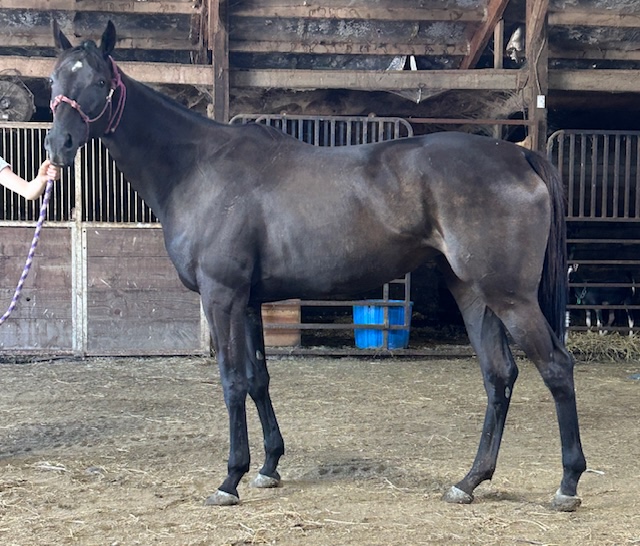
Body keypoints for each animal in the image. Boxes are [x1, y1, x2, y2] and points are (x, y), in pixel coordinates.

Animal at [43, 20, 584, 506]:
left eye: (98, 82)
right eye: (54, 80)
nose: (59, 146)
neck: (199, 168)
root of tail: (518, 156)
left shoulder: (222, 296)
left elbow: (232, 380)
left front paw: (230, 479)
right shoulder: (248, 302)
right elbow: (258, 378)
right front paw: (267, 467)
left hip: (510, 297)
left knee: (556, 367)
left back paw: (567, 484)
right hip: (474, 293)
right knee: (499, 375)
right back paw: (469, 481)